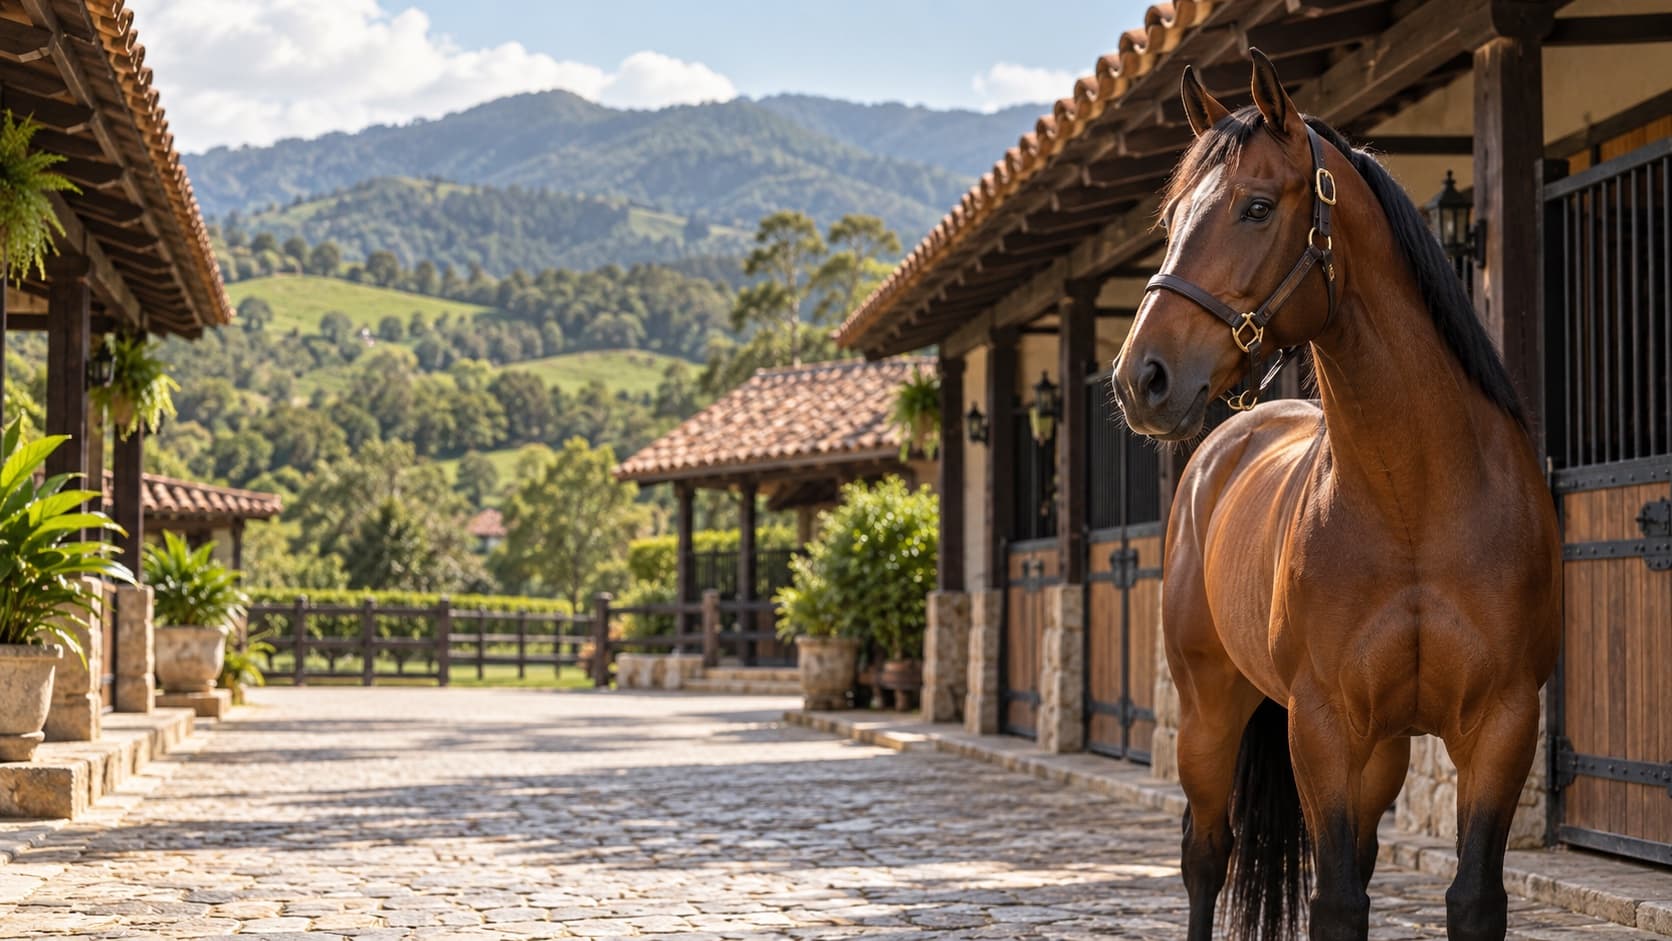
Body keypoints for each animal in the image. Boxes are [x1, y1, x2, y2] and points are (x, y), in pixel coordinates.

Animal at [1108, 50, 1560, 941]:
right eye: (1172, 216)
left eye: (1254, 207)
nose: (1142, 378)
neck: (1416, 502)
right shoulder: (1323, 727)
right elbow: (1336, 902)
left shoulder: (1501, 724)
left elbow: (1472, 898)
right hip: (1209, 712)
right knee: (1205, 854)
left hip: (1382, 750)